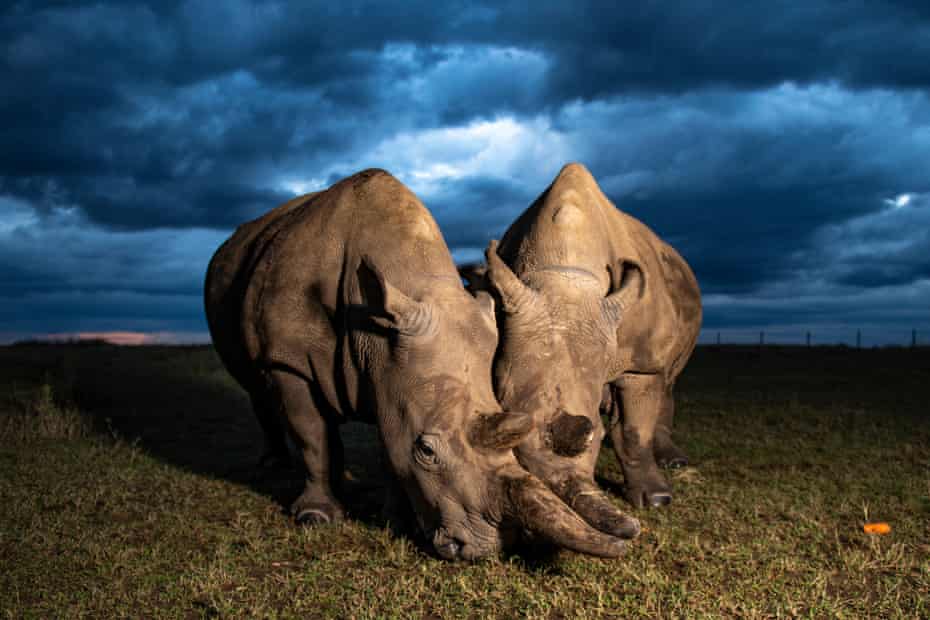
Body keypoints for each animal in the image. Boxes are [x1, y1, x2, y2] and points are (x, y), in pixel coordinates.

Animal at [204, 169, 630, 560]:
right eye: (426, 450)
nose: (478, 551)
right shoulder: (289, 360)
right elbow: (312, 435)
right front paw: (316, 517)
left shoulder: (390, 368)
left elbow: (390, 441)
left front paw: (394, 518)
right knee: (258, 388)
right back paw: (275, 466)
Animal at [462, 163, 701, 532]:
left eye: (595, 437)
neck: (566, 274)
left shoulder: (640, 362)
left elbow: (634, 428)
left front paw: (656, 500)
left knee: (669, 379)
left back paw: (673, 463)